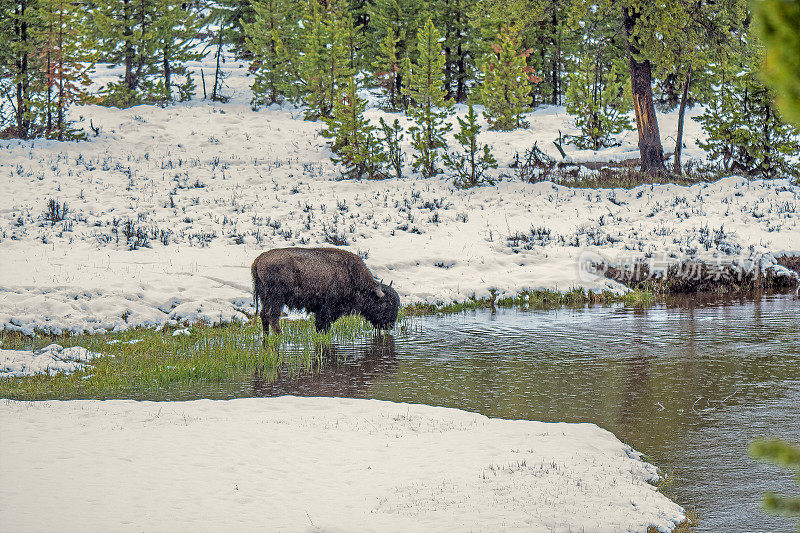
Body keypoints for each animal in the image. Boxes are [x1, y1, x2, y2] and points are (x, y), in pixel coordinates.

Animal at [250, 246, 400, 338]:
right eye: (388, 304)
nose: (390, 325)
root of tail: (259, 259)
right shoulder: (326, 310)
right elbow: (323, 325)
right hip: (276, 298)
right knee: (272, 316)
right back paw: (280, 336)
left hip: (265, 298)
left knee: (263, 315)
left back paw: (267, 337)